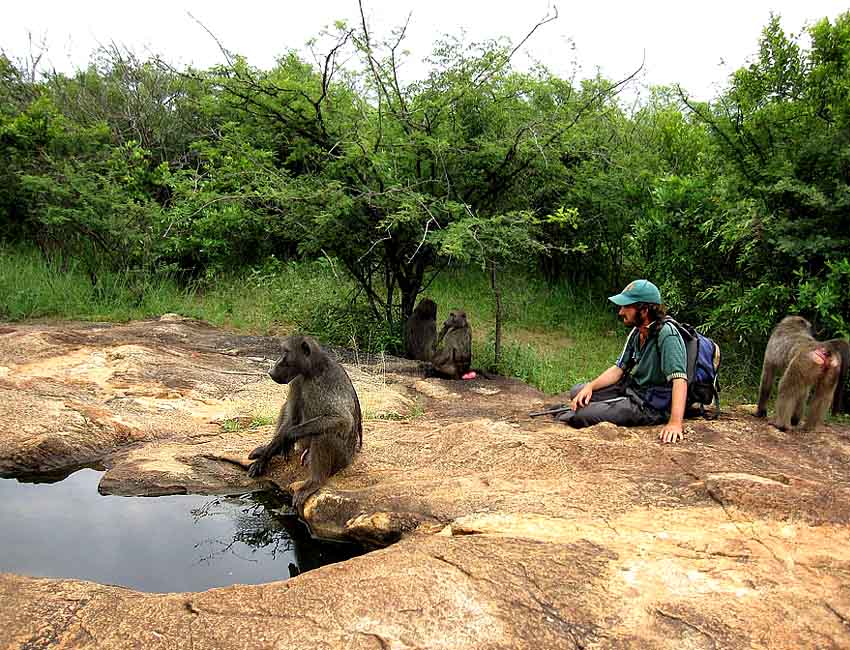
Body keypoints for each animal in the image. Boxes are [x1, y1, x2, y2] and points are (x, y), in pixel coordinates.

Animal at [247, 335, 363, 509]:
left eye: (286, 352)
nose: (271, 370)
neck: (312, 371)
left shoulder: (330, 378)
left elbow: (342, 420)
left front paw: (286, 437)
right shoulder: (297, 380)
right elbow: (292, 418)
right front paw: (266, 455)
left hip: (343, 459)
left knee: (324, 433)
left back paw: (314, 482)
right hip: (303, 445)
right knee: (287, 408)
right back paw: (270, 450)